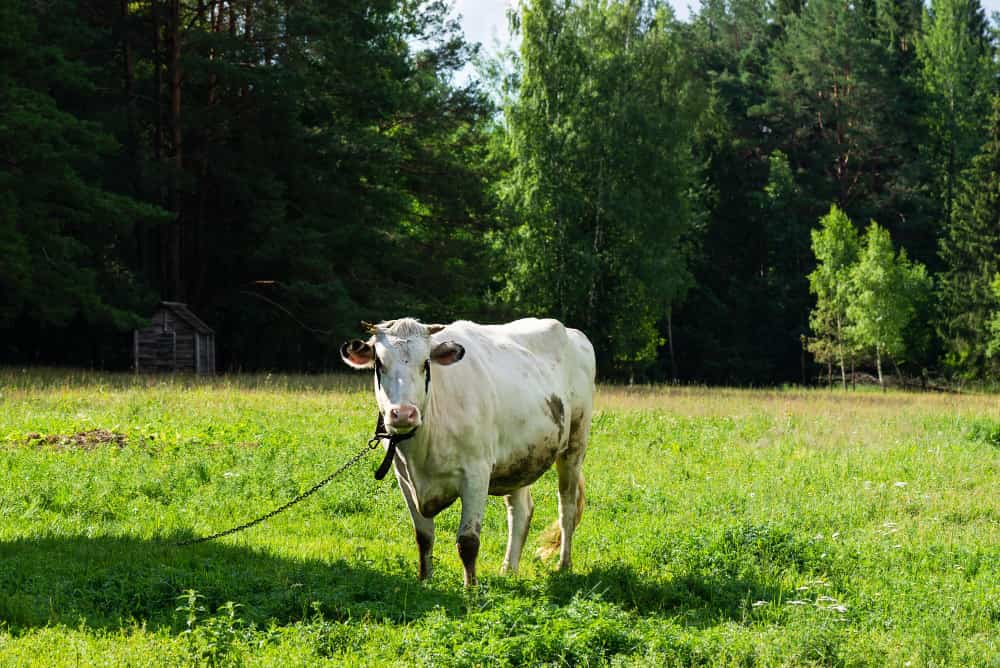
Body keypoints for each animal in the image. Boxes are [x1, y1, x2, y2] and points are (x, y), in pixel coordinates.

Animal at [342, 318, 592, 584]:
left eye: (426, 363)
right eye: (379, 363)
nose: (403, 414)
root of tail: (573, 332)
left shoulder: (476, 474)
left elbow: (468, 542)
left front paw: (470, 588)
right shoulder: (404, 479)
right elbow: (423, 537)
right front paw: (425, 581)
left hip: (575, 446)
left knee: (566, 508)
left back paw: (563, 565)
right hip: (521, 458)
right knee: (521, 511)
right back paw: (509, 569)